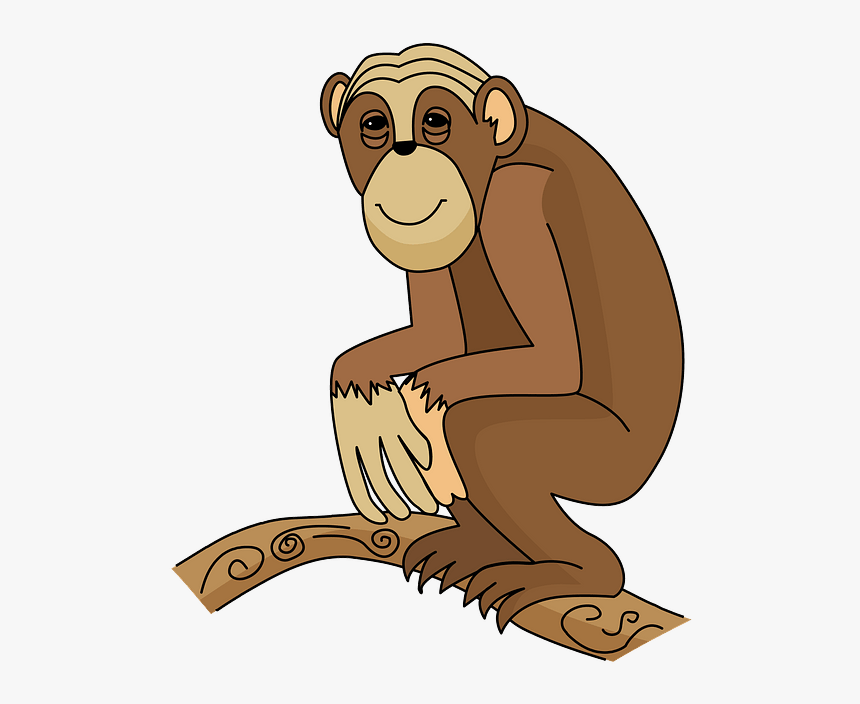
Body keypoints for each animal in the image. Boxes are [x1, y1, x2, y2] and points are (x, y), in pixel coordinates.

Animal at [320, 45, 683, 631]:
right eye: (373, 126)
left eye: (435, 121)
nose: (402, 151)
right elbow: (438, 336)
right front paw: (353, 385)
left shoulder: (516, 206)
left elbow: (552, 362)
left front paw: (415, 399)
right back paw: (482, 546)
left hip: (606, 459)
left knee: (472, 429)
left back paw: (582, 573)